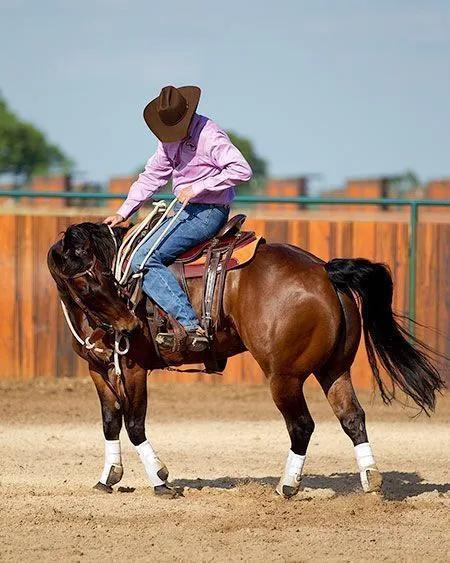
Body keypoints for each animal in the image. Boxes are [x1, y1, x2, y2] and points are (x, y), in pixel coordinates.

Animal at [47, 220, 444, 498]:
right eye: (82, 282)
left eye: (108, 275)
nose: (129, 324)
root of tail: (323, 269)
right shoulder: (98, 368)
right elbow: (110, 421)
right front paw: (108, 477)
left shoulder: (133, 367)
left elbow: (134, 424)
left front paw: (160, 480)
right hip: (334, 369)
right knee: (352, 418)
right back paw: (370, 480)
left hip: (284, 376)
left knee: (302, 426)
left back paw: (287, 486)